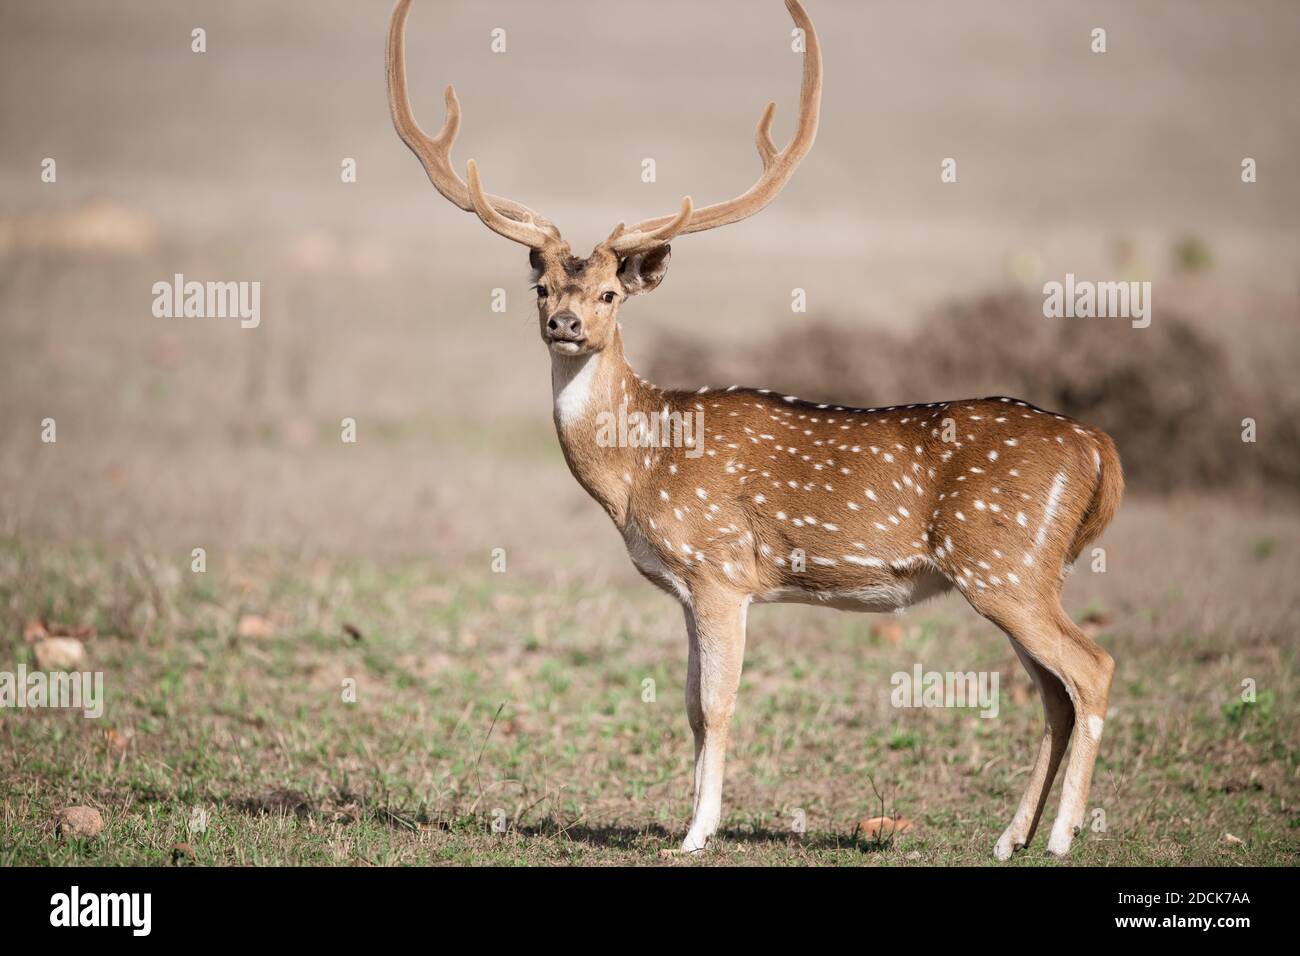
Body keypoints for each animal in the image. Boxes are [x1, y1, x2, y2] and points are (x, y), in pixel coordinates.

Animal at [386, 0, 1123, 859]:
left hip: (1005, 564)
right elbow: (686, 706)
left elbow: (718, 703)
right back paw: (1009, 838)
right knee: (1055, 692)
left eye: (609, 294)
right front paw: (684, 816)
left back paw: (1061, 837)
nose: (565, 325)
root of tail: (1098, 448)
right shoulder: (682, 586)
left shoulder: (721, 569)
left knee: (1092, 668)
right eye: (541, 288)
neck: (642, 468)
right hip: (1021, 575)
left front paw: (697, 832)